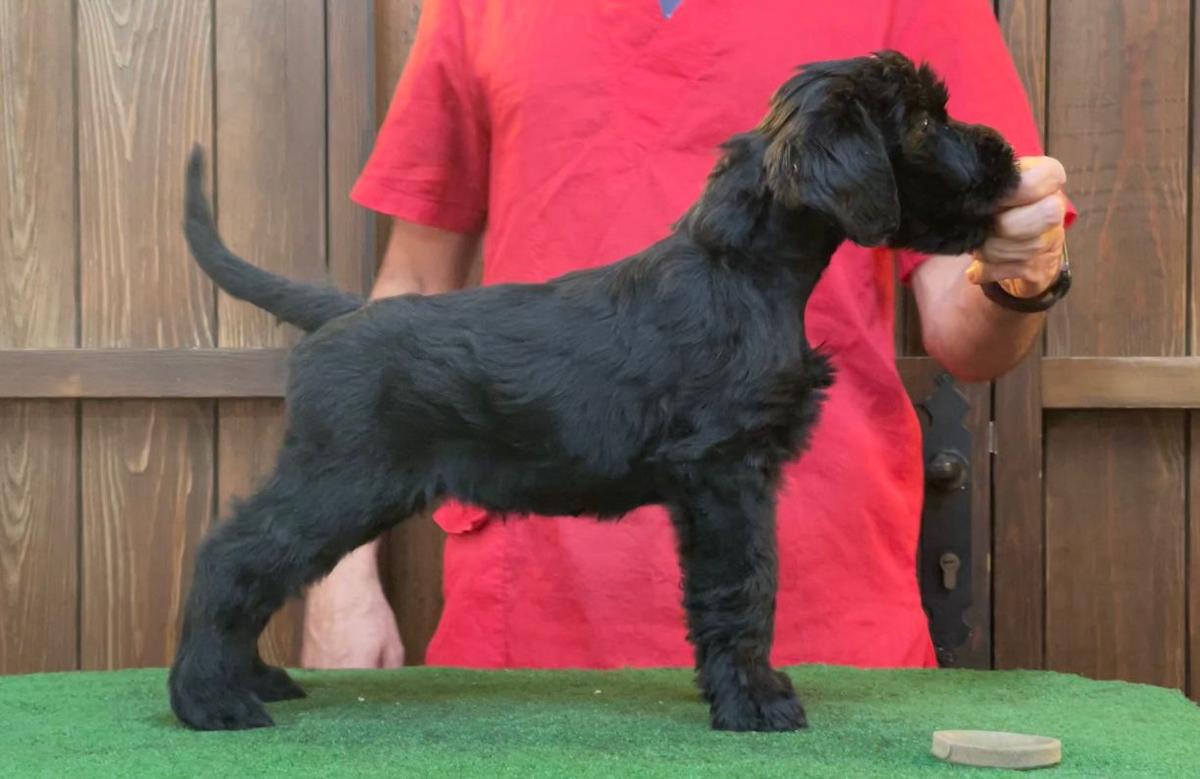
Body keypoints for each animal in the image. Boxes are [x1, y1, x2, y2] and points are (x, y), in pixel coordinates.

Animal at [166, 51, 1012, 734]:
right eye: (925, 119)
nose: (1004, 151)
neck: (742, 270)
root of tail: (339, 313)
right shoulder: (727, 473)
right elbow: (746, 584)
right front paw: (755, 700)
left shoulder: (718, 484)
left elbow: (726, 590)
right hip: (341, 481)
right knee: (233, 556)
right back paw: (210, 699)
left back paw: (251, 680)